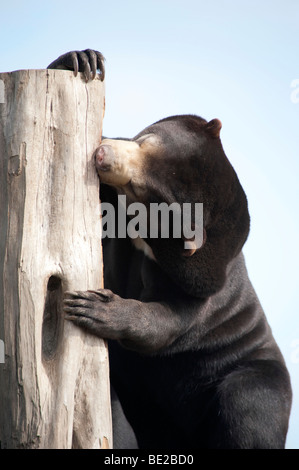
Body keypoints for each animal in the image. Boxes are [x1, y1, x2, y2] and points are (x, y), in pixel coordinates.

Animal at [48, 50, 292, 448]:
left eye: (140, 190)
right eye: (144, 140)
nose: (101, 154)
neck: (144, 242)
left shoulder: (198, 287)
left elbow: (164, 323)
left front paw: (93, 306)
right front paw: (80, 60)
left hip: (254, 375)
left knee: (250, 407)